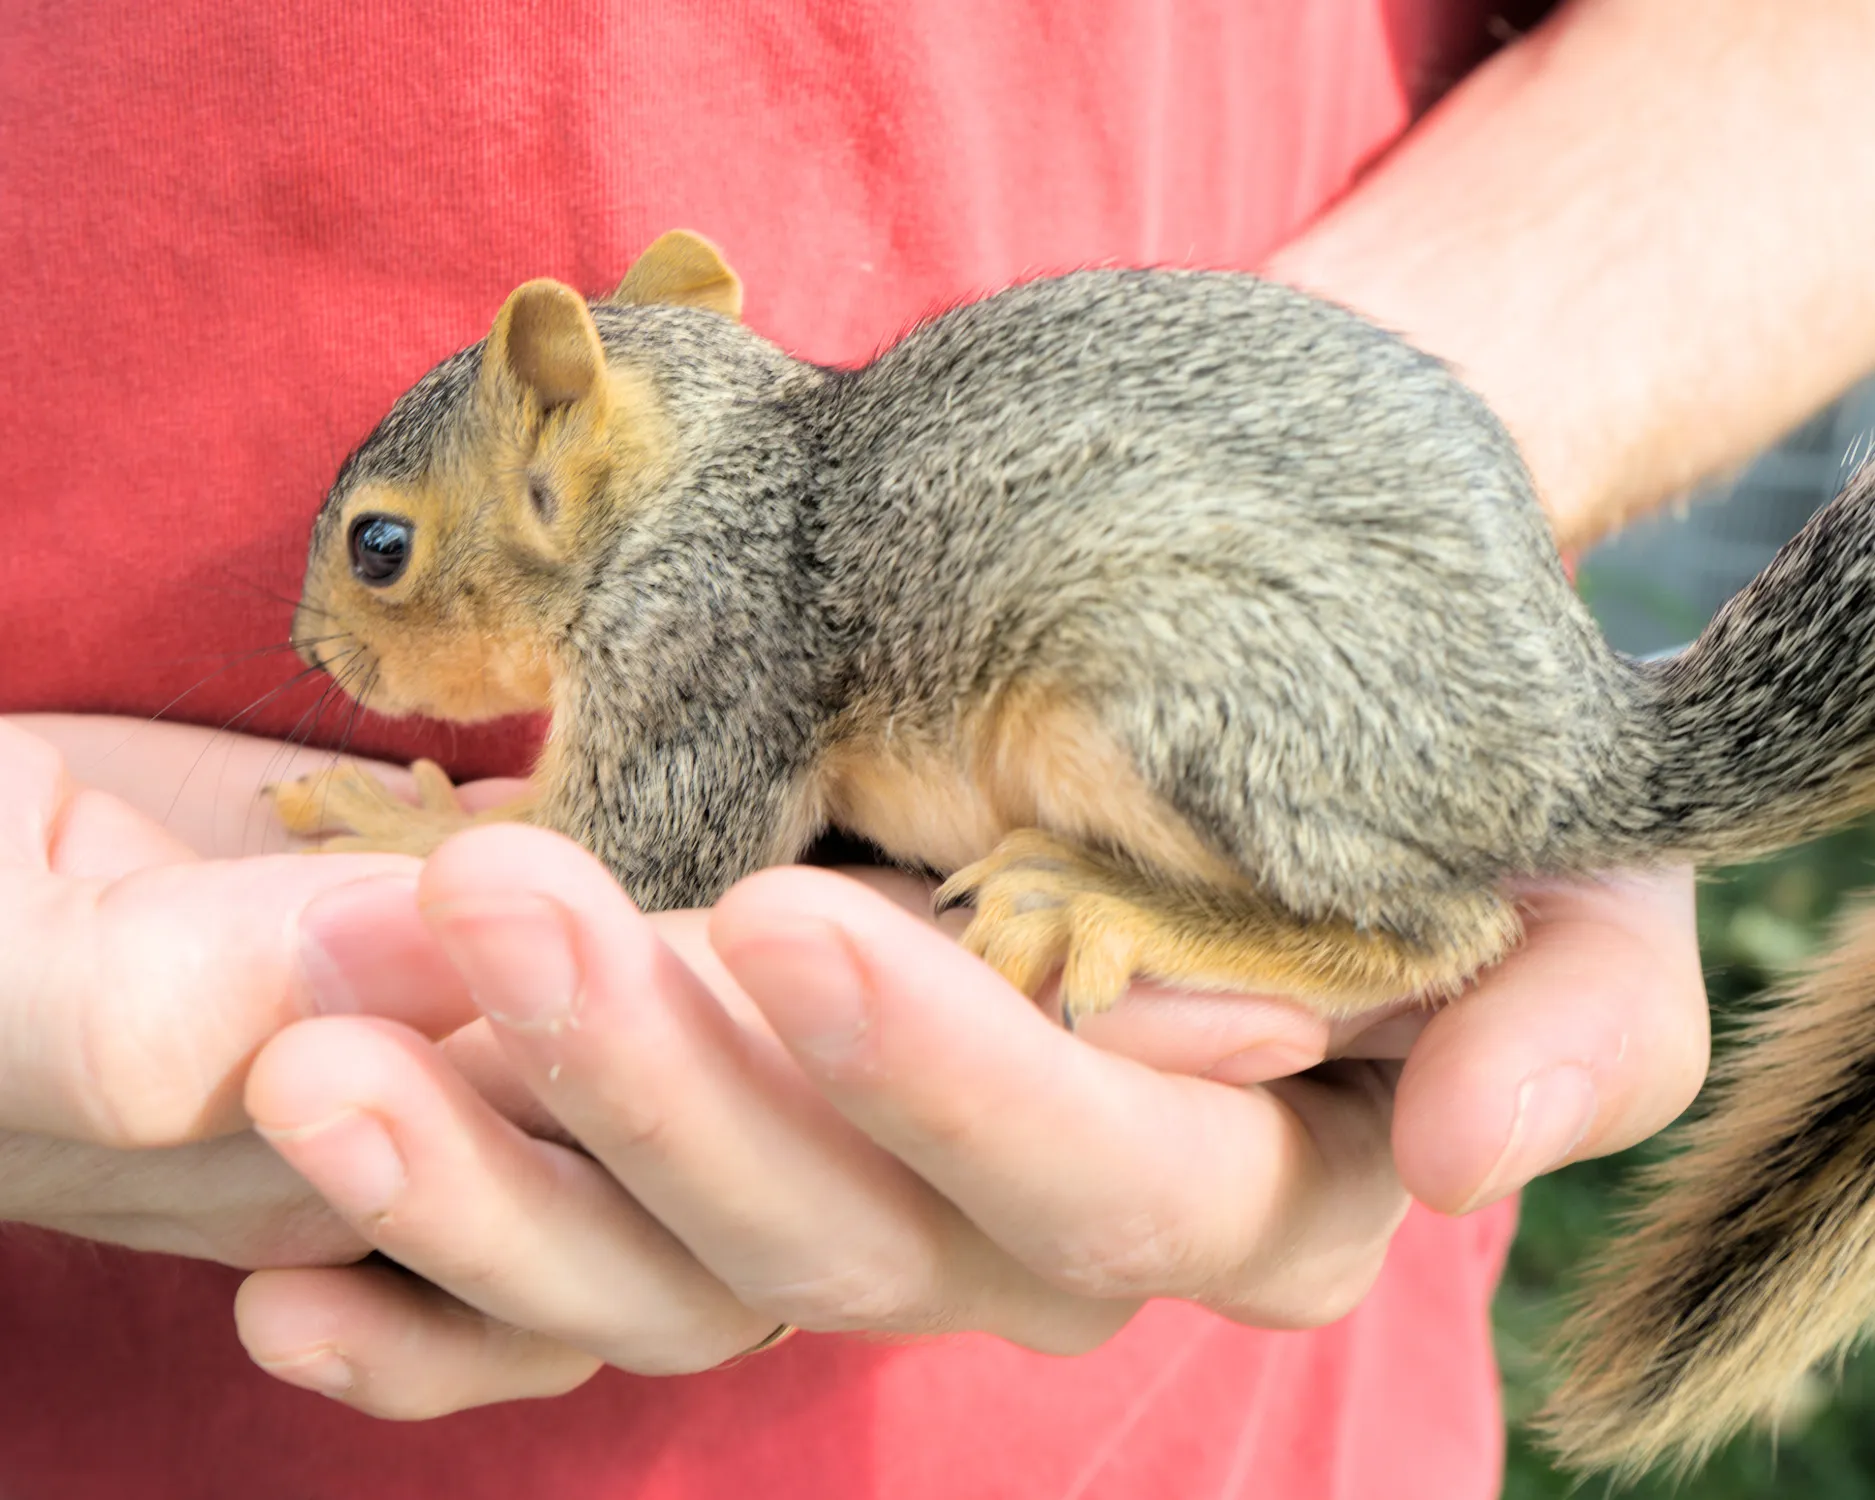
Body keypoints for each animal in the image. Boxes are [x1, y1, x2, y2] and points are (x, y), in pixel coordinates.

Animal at [274, 229, 1875, 1477]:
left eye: (377, 546)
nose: (309, 651)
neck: (703, 482)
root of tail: (1566, 744)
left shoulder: (706, 664)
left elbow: (634, 852)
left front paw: (398, 816)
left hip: (1181, 697)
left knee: (1442, 933)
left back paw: (1108, 901)